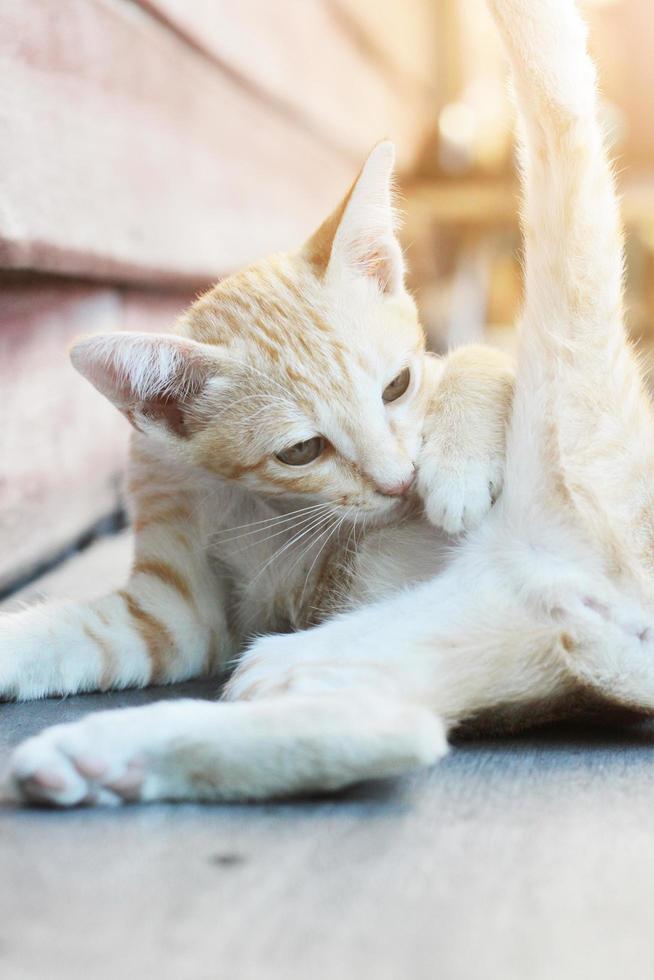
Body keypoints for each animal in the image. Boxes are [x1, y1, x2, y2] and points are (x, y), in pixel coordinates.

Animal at [9, 0, 654, 808]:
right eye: (301, 450)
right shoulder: (176, 611)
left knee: (561, 109)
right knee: (396, 731)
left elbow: (478, 357)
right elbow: (94, 632)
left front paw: (454, 471)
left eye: (397, 387)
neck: (253, 503)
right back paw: (94, 758)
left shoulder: (453, 367)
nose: (400, 483)